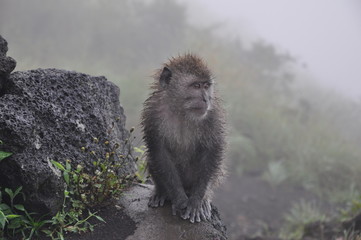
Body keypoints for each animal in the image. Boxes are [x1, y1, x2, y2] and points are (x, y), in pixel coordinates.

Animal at [141, 54, 225, 223]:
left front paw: (196, 201)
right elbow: (159, 152)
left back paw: (203, 199)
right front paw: (179, 200)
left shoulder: (212, 116)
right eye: (196, 86)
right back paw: (162, 191)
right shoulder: (152, 114)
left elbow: (212, 152)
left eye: (206, 86)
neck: (181, 110)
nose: (206, 99)